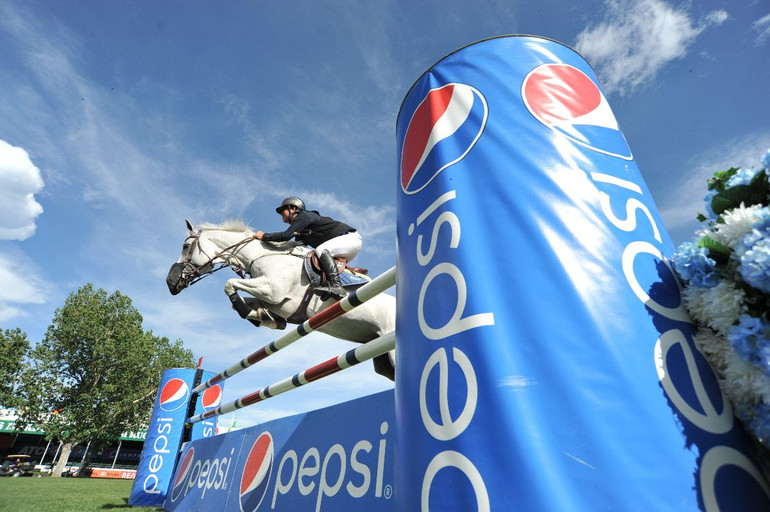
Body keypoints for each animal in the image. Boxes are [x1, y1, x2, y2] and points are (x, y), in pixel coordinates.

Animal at [167, 220, 396, 380]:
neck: (264, 257)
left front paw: (256, 315)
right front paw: (264, 317)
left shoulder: (271, 290)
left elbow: (230, 284)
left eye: (186, 246)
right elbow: (249, 302)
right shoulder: (273, 300)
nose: (170, 282)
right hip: (382, 358)